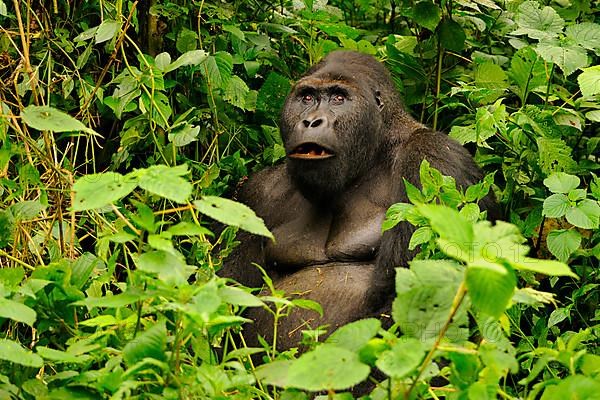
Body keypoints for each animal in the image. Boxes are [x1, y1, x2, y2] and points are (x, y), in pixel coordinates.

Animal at [219, 50, 492, 350]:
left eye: (339, 98)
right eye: (307, 98)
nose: (311, 121)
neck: (375, 151)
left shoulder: (435, 160)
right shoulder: (256, 194)